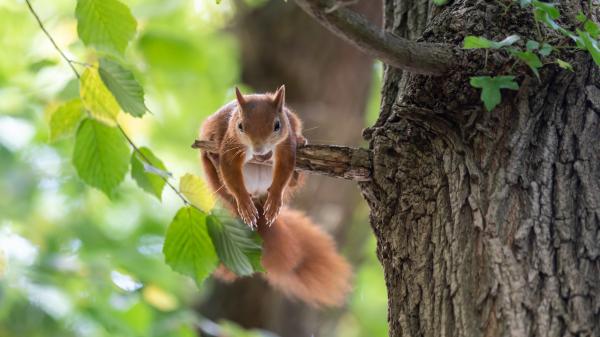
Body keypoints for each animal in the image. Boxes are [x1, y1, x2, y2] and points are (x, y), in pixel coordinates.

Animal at [199, 85, 352, 306]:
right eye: (240, 126)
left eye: (277, 125)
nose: (260, 151)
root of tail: (258, 198)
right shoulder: (230, 143)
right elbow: (229, 169)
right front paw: (244, 202)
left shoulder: (286, 145)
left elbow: (285, 169)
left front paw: (275, 200)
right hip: (214, 173)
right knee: (222, 177)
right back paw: (214, 159)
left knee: (293, 179)